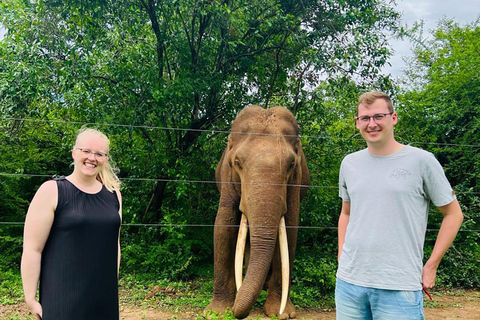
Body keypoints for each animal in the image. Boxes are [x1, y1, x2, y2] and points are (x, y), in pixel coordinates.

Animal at [206, 105, 312, 320]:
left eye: (291, 165)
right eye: (237, 162)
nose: (237, 311)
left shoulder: (295, 181)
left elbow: (290, 230)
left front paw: (282, 314)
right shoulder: (227, 175)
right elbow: (224, 226)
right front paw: (215, 313)